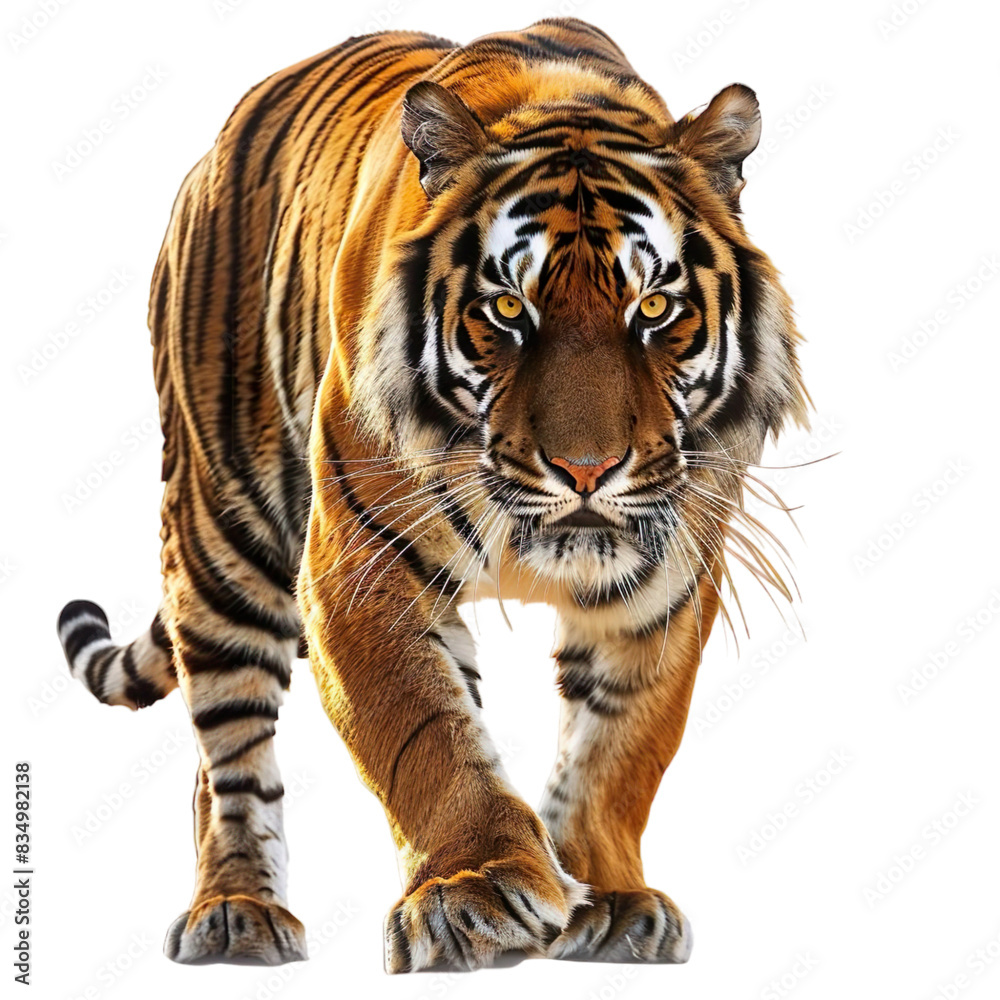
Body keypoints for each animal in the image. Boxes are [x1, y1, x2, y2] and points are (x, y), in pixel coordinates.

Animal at [57, 17, 808, 973]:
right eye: (507, 310)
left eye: (654, 309)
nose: (588, 471)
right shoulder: (358, 562)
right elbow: (423, 733)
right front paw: (473, 893)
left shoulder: (668, 578)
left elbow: (621, 744)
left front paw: (608, 898)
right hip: (221, 532)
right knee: (226, 752)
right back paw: (236, 913)